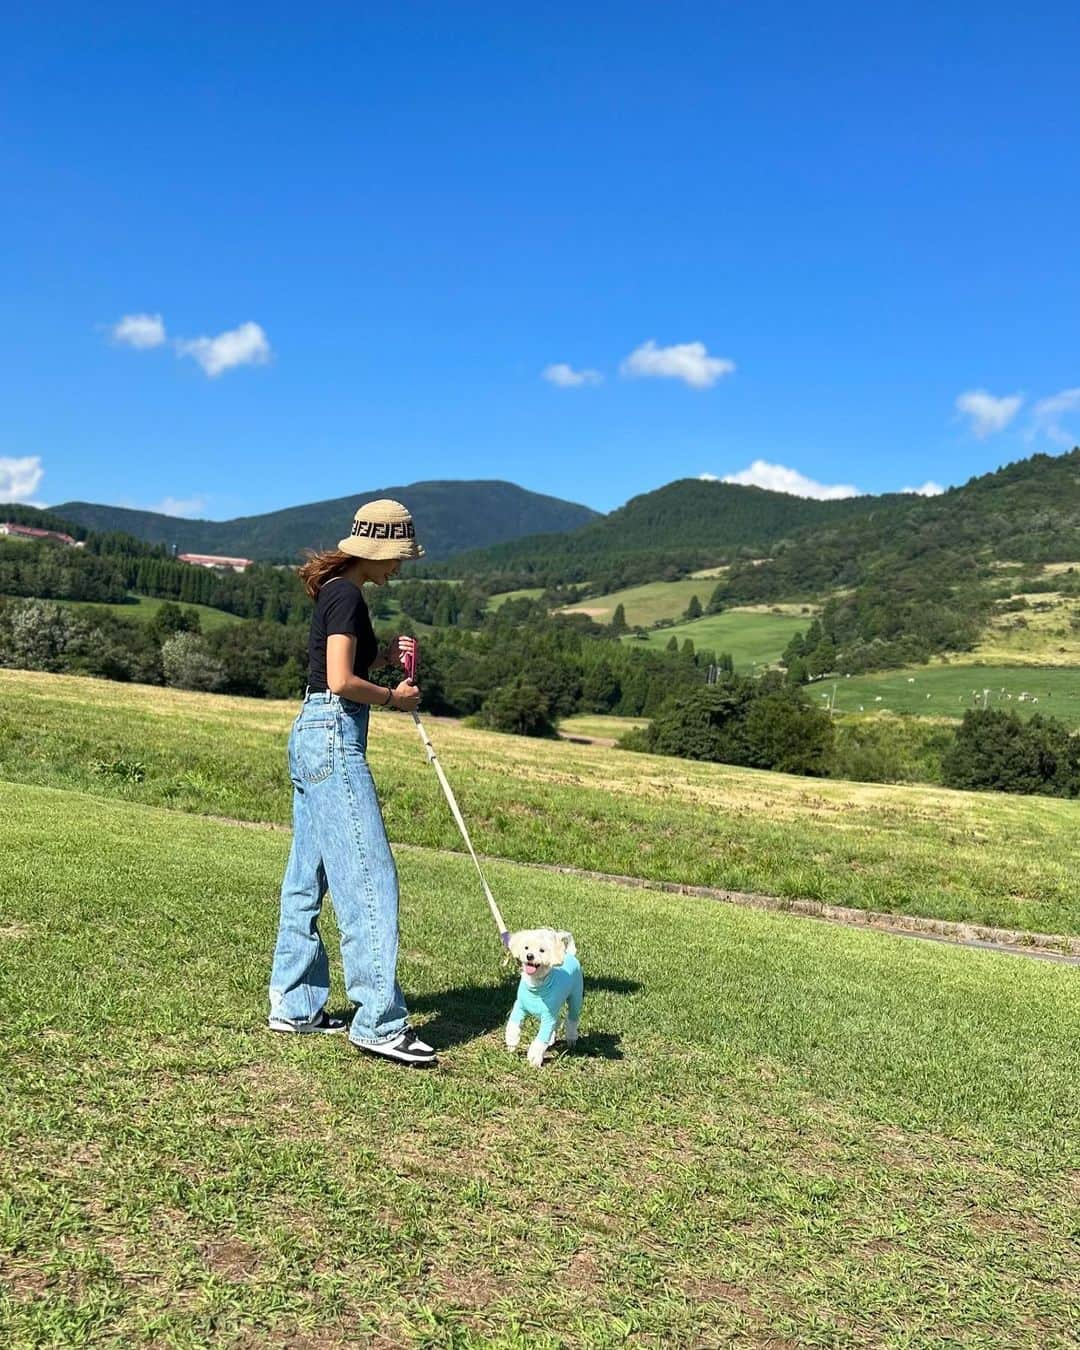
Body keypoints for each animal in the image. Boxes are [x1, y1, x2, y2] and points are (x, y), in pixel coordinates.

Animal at [504, 928, 583, 1063]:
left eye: (542, 950)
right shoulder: (519, 1008)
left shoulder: (548, 1016)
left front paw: (534, 1059)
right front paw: (511, 1044)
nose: (529, 956)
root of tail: (570, 955)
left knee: (572, 1020)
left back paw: (571, 1039)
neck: (535, 986)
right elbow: (513, 1026)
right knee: (557, 1021)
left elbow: (540, 1040)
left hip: (575, 997)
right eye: (526, 947)